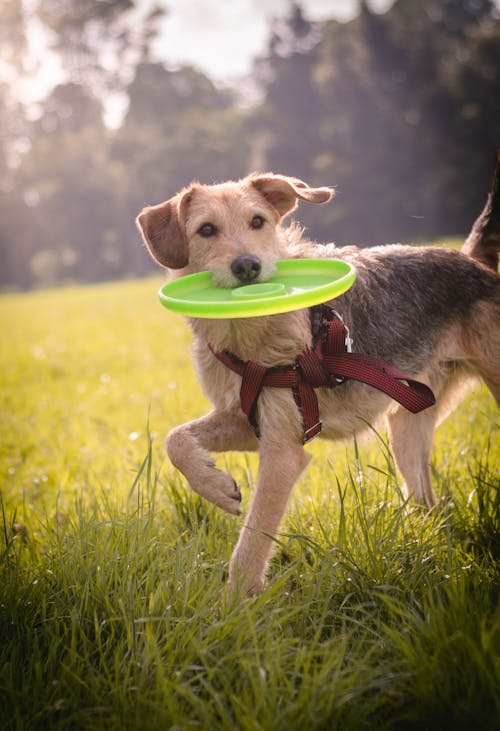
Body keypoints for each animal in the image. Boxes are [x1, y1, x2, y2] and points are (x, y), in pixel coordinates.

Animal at [137, 156, 500, 596]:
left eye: (258, 222)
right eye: (206, 230)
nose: (247, 266)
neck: (249, 334)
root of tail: (473, 262)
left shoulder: (282, 451)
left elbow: (251, 542)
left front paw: (236, 606)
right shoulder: (248, 422)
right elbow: (176, 440)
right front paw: (216, 487)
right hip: (406, 424)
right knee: (428, 503)